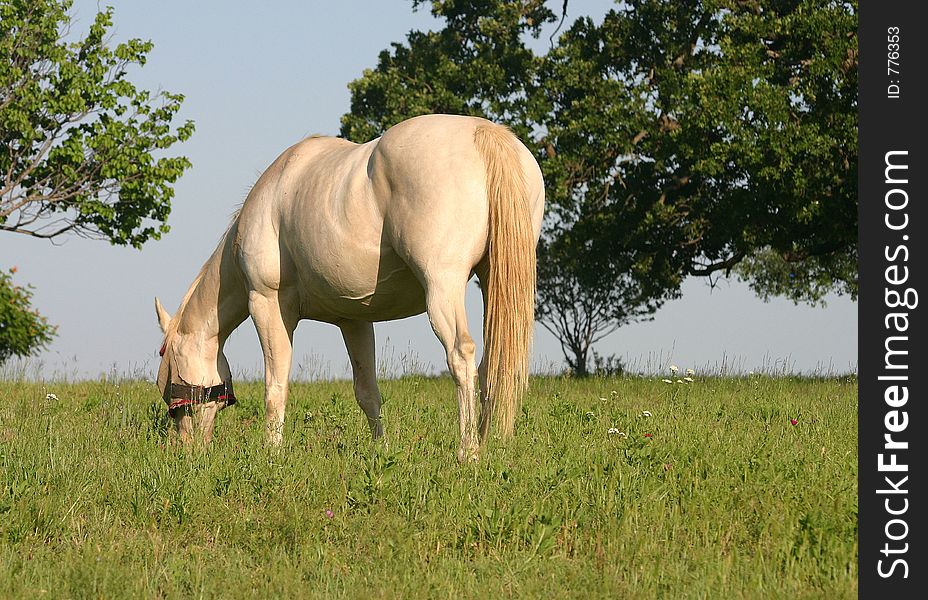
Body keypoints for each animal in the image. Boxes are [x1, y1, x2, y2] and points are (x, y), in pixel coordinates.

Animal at [152, 113, 544, 460]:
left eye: (169, 385)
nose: (185, 450)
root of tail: (483, 132)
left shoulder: (267, 304)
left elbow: (275, 385)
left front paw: (271, 452)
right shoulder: (354, 319)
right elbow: (367, 391)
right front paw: (380, 450)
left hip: (443, 286)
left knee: (461, 356)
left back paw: (469, 452)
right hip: (494, 281)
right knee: (493, 365)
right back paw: (488, 443)